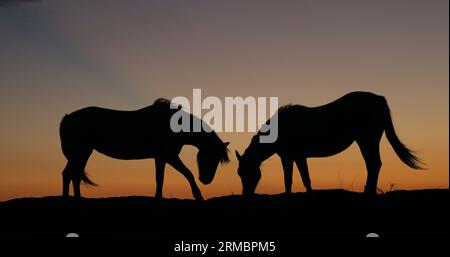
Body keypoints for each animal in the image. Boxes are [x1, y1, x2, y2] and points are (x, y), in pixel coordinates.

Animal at [59, 97, 229, 199]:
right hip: (80, 153)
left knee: (74, 174)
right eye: (211, 156)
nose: (206, 180)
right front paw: (197, 195)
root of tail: (67, 117)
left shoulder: (163, 157)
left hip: (83, 153)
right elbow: (184, 174)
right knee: (68, 174)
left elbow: (164, 178)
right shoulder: (168, 156)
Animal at [236, 92, 426, 194]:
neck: (281, 127)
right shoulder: (295, 157)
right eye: (239, 173)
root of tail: (378, 98)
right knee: (374, 164)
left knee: (373, 164)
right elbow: (299, 180)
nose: (246, 194)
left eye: (248, 172)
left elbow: (294, 179)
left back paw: (368, 192)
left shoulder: (292, 157)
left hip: (367, 140)